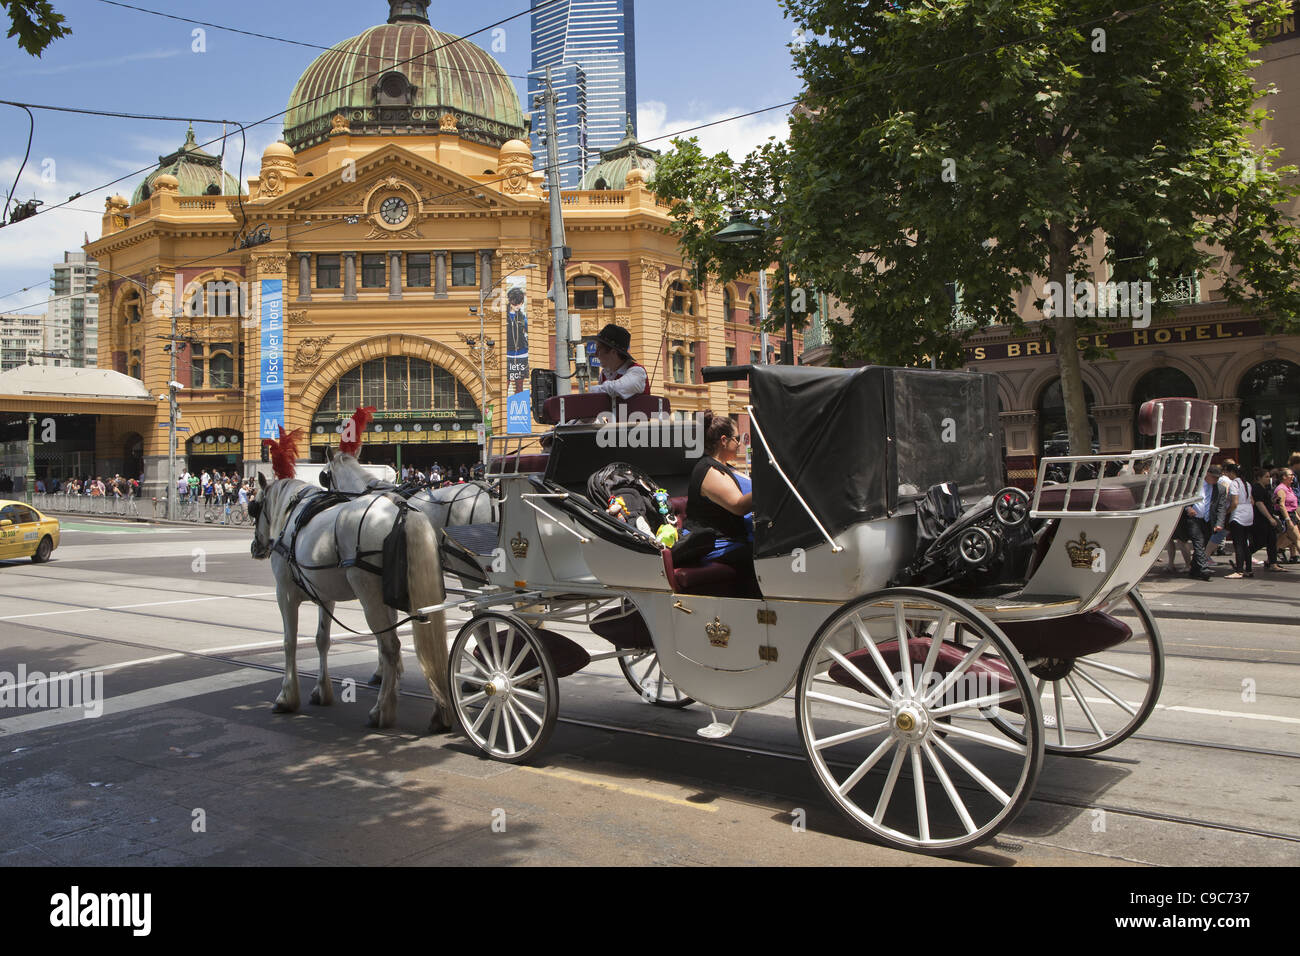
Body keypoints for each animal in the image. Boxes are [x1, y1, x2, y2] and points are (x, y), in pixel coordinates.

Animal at [250, 473, 454, 733]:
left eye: (254, 507)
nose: (255, 547)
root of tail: (402, 510)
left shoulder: (285, 594)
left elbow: (289, 643)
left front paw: (286, 697)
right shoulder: (325, 597)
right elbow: (322, 640)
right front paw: (321, 691)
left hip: (370, 597)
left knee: (390, 647)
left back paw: (382, 711)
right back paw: (440, 712)